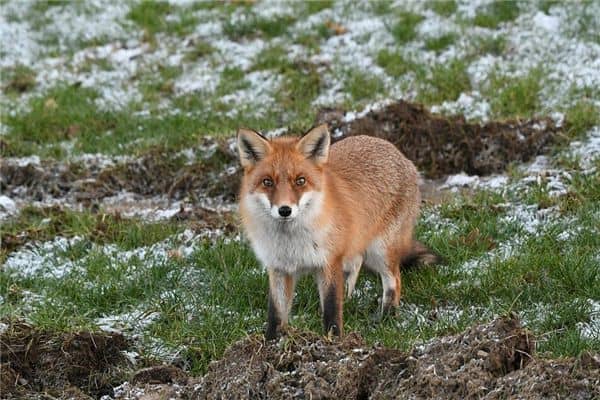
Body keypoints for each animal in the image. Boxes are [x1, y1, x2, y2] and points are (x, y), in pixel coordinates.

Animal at [237, 123, 438, 340]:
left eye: (300, 181)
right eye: (267, 182)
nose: (284, 210)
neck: (291, 243)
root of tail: (399, 153)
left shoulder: (329, 261)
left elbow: (332, 308)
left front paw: (333, 340)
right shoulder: (279, 268)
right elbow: (275, 313)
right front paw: (271, 342)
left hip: (381, 250)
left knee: (394, 280)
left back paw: (386, 317)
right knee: (356, 263)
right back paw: (350, 299)